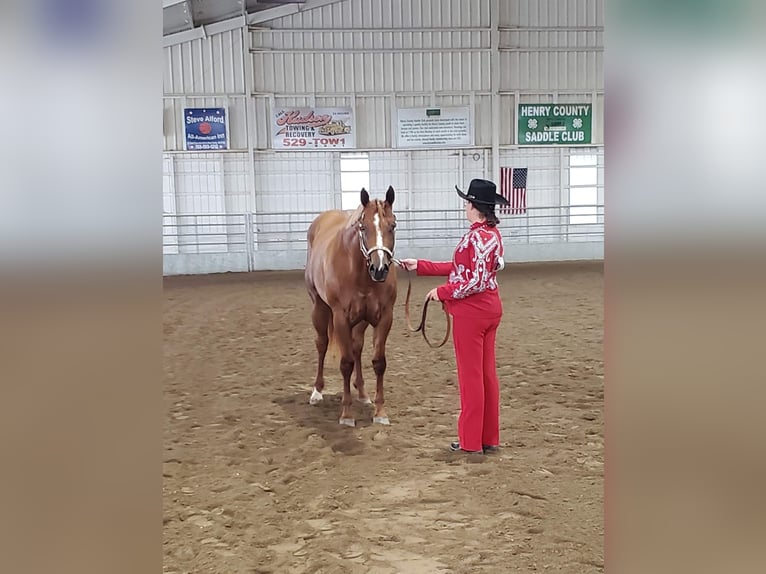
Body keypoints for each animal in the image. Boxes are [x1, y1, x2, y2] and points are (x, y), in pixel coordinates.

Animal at [304, 186, 398, 427]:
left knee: (357, 347)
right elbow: (345, 364)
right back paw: (317, 392)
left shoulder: (384, 317)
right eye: (363, 227)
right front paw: (346, 414)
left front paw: (380, 411)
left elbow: (379, 362)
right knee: (322, 345)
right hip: (319, 309)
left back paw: (363, 394)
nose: (379, 269)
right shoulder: (340, 318)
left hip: (361, 320)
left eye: (392, 226)